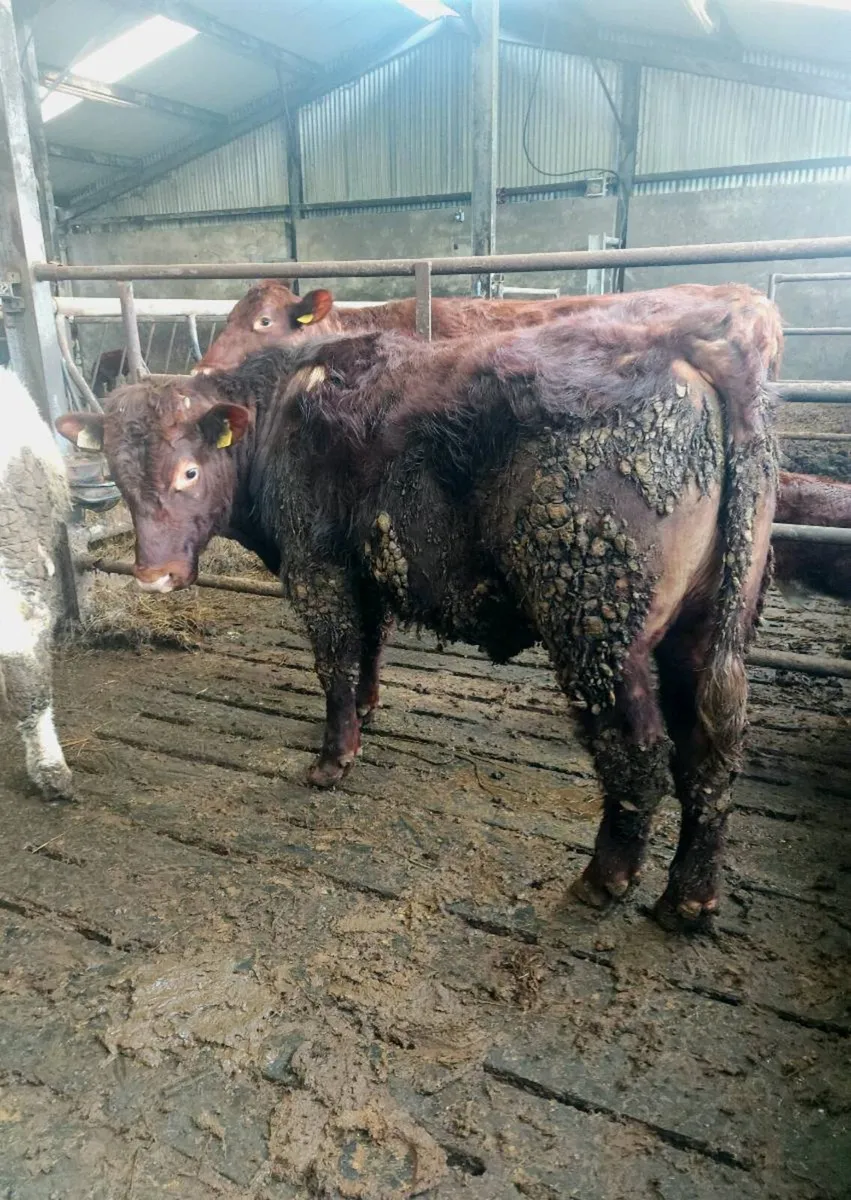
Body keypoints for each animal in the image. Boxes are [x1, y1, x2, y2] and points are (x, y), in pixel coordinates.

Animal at [57, 295, 781, 930]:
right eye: (119, 473)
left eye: (187, 472)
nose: (153, 575)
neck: (281, 410)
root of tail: (686, 350)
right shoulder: (366, 573)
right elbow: (368, 650)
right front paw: (366, 714)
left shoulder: (317, 569)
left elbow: (335, 663)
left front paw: (332, 759)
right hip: (706, 632)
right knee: (710, 754)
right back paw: (687, 899)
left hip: (596, 631)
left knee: (639, 753)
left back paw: (603, 878)